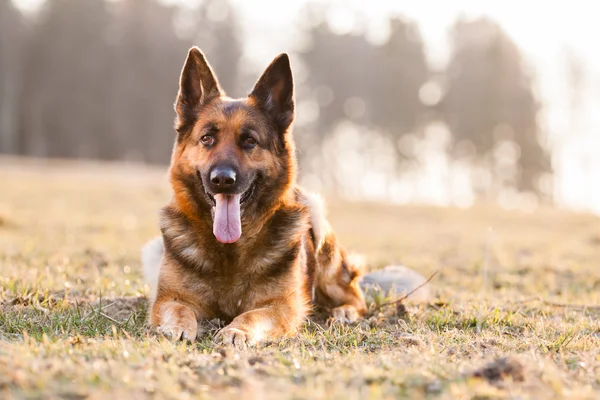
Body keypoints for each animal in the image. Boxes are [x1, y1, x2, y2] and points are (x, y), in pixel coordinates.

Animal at [142, 46, 366, 346]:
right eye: (207, 138)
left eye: (249, 141)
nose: (223, 180)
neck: (230, 251)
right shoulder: (168, 298)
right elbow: (178, 309)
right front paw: (177, 328)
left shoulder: (281, 306)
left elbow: (251, 316)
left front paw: (236, 330)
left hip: (320, 233)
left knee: (355, 295)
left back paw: (344, 312)